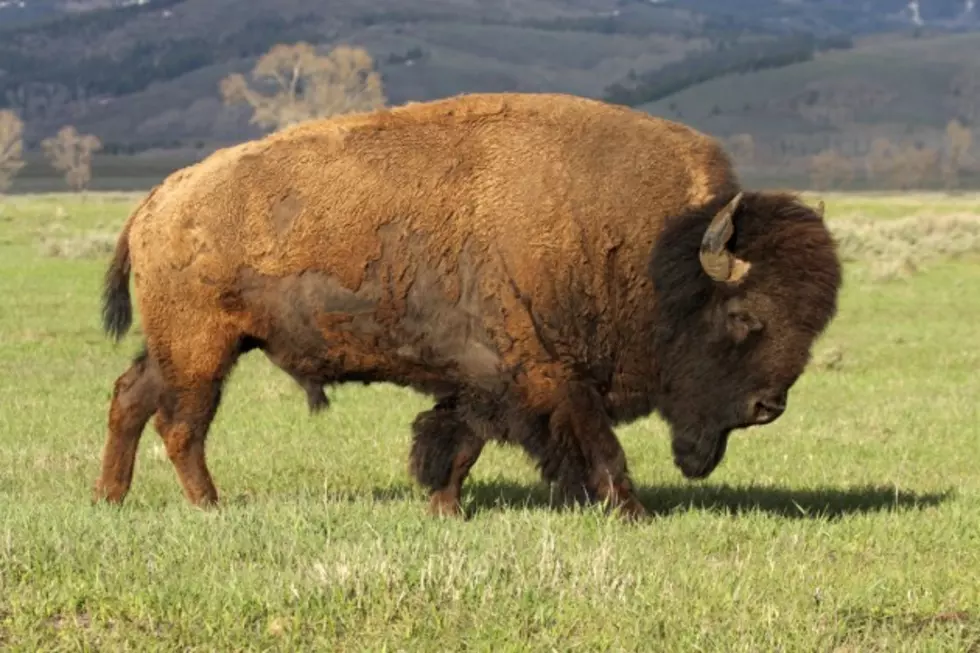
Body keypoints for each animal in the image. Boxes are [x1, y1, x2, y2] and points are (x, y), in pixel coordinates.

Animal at [94, 93, 844, 520]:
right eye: (746, 318)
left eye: (813, 324)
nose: (768, 406)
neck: (655, 253)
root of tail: (158, 200)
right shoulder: (546, 375)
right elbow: (598, 446)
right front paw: (631, 512)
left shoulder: (484, 380)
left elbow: (455, 443)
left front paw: (444, 509)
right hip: (203, 349)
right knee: (180, 424)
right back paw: (209, 507)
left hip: (181, 347)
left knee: (131, 397)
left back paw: (111, 498)